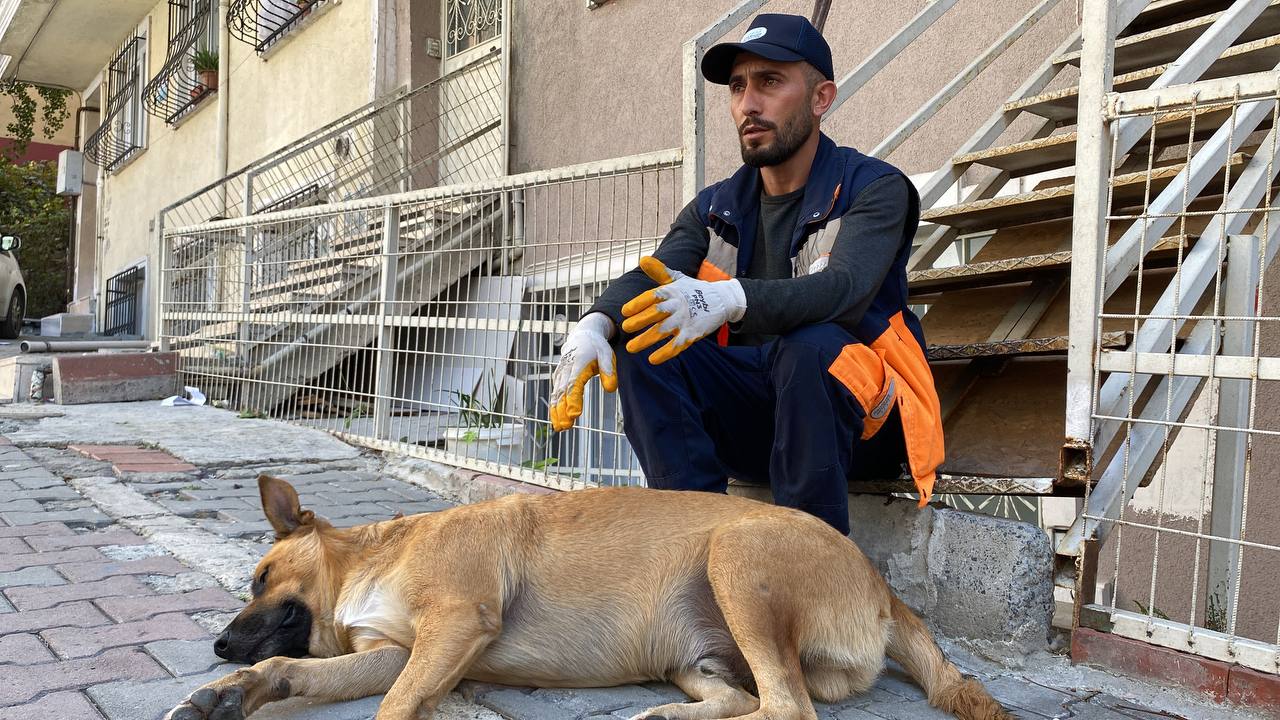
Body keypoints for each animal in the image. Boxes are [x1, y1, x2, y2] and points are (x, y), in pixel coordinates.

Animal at [165, 474, 1013, 712]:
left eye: (261, 578)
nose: (216, 644)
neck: (372, 560)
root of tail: (887, 591)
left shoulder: (452, 626)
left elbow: (393, 708)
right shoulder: (395, 652)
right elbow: (294, 671)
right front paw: (233, 690)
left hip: (736, 558)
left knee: (785, 707)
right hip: (695, 657)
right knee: (746, 699)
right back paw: (665, 717)